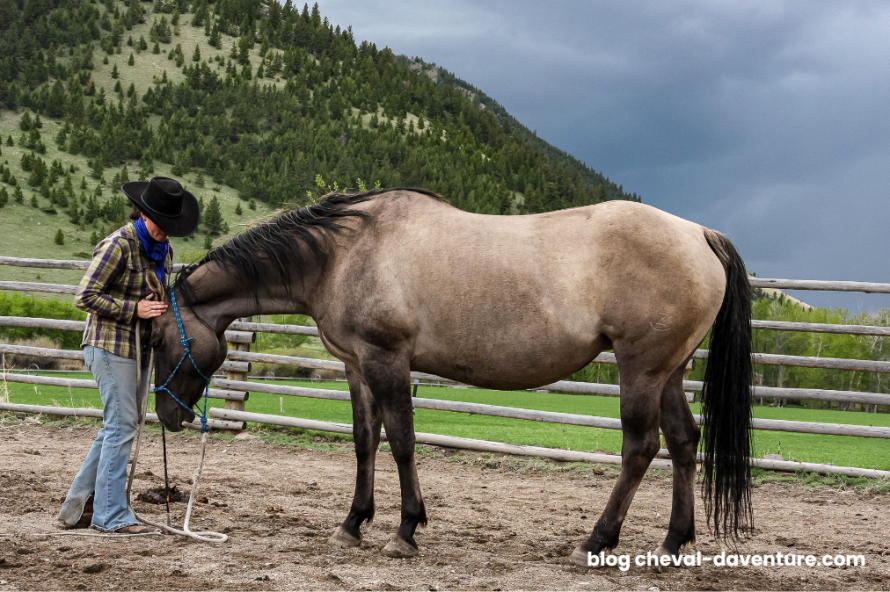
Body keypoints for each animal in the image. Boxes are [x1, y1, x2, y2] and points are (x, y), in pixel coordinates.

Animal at [150, 188, 753, 563]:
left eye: (157, 337)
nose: (168, 416)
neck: (344, 253)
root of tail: (699, 233)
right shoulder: (356, 366)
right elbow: (365, 441)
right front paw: (353, 524)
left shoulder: (386, 360)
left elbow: (402, 442)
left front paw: (405, 531)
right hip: (668, 371)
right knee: (684, 442)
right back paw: (672, 543)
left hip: (640, 368)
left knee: (640, 447)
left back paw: (595, 541)